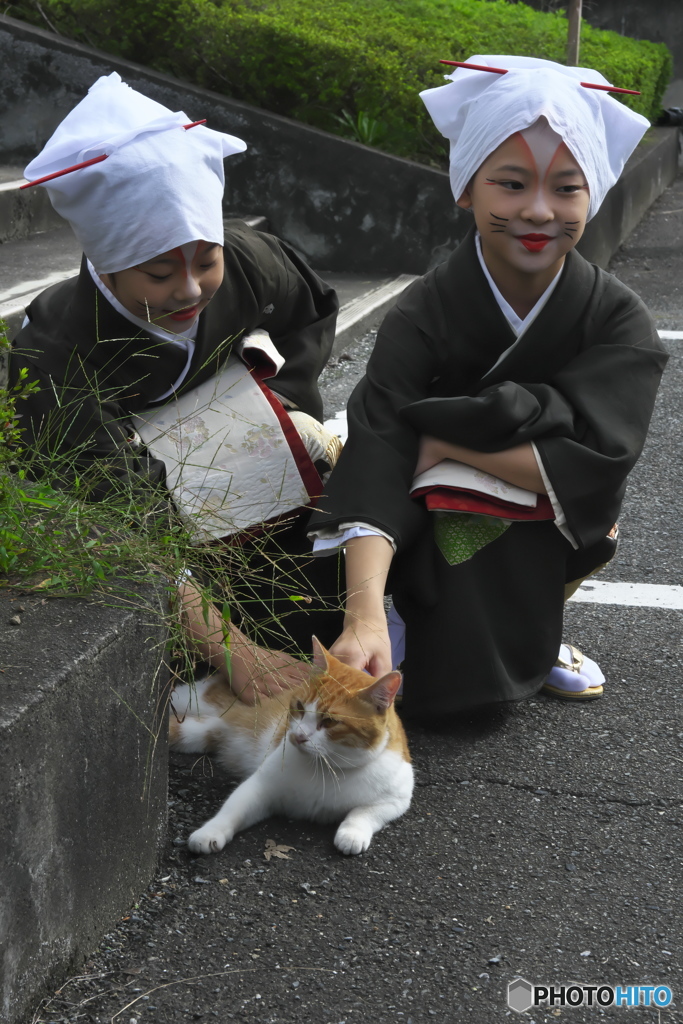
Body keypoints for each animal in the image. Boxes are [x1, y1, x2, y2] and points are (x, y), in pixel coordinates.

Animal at [167, 638, 413, 856]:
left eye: (330, 722)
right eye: (299, 707)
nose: (298, 735)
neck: (326, 767)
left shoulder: (396, 798)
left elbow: (364, 813)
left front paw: (352, 834)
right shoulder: (262, 785)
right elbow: (233, 808)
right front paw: (210, 831)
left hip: (199, 732)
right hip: (194, 700)